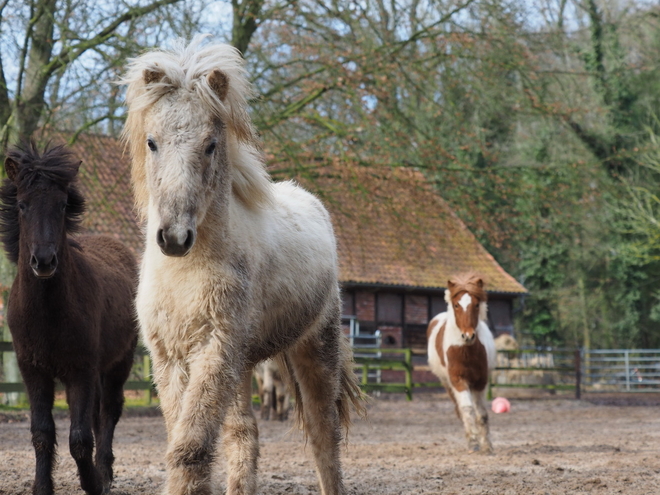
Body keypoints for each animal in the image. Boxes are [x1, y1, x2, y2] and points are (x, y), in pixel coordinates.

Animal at [0, 144, 138, 495]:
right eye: (21, 205)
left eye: (62, 205)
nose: (44, 261)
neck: (49, 313)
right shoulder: (33, 372)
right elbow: (42, 433)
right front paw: (42, 487)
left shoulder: (81, 371)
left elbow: (79, 437)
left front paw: (92, 483)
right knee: (98, 414)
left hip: (119, 363)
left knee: (109, 411)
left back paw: (104, 471)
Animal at [121, 35, 364, 495]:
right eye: (152, 142)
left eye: (210, 144)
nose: (173, 238)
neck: (185, 274)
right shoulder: (170, 357)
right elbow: (187, 441)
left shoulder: (215, 349)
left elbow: (191, 449)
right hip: (244, 364)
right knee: (243, 434)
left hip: (312, 348)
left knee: (324, 436)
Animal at [428, 274, 496, 456]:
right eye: (457, 305)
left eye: (477, 304)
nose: (468, 336)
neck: (465, 350)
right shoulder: (458, 380)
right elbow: (467, 409)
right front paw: (473, 443)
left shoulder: (480, 382)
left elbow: (482, 414)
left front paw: (487, 445)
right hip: (447, 383)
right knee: (460, 409)